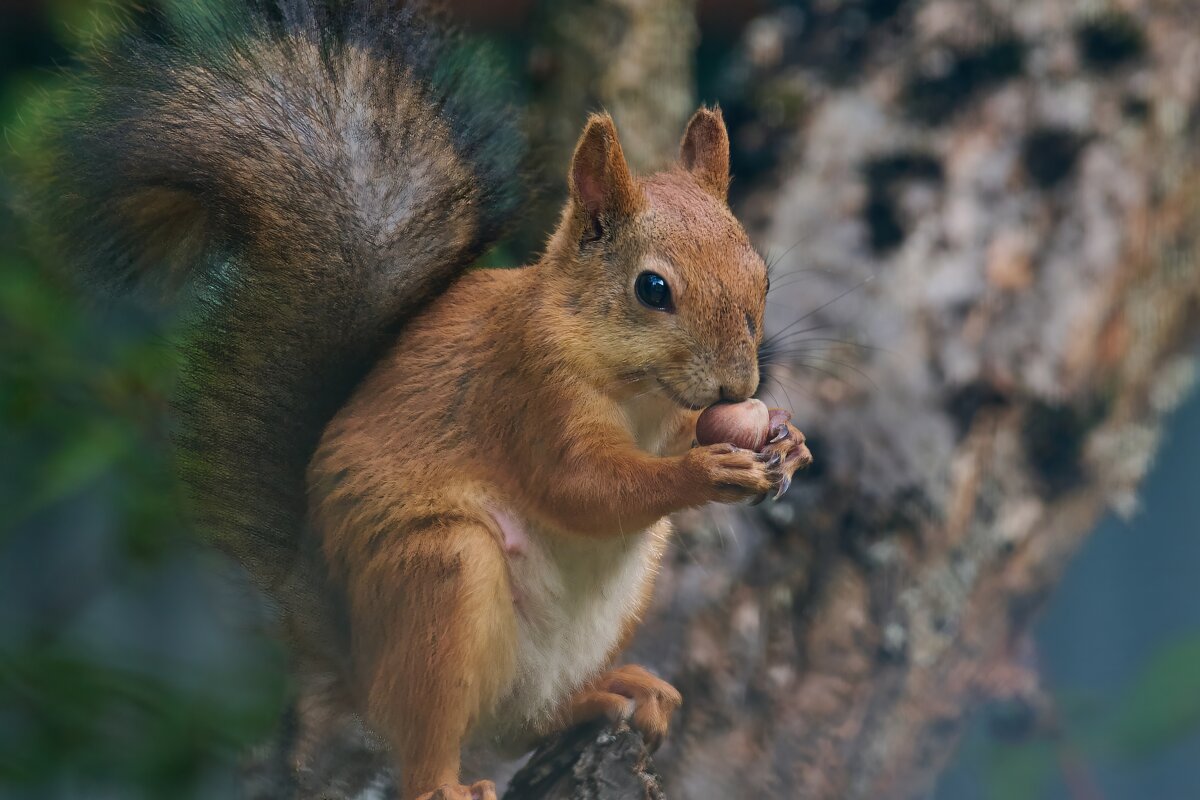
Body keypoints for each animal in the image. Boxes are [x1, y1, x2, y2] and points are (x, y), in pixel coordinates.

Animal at [28, 1, 811, 800]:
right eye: (652, 289)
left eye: (760, 274)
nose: (740, 387)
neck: (633, 387)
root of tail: (342, 660)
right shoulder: (525, 391)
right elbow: (583, 486)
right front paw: (708, 472)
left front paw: (786, 441)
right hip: (440, 579)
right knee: (425, 740)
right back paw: (447, 782)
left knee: (522, 723)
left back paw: (608, 694)